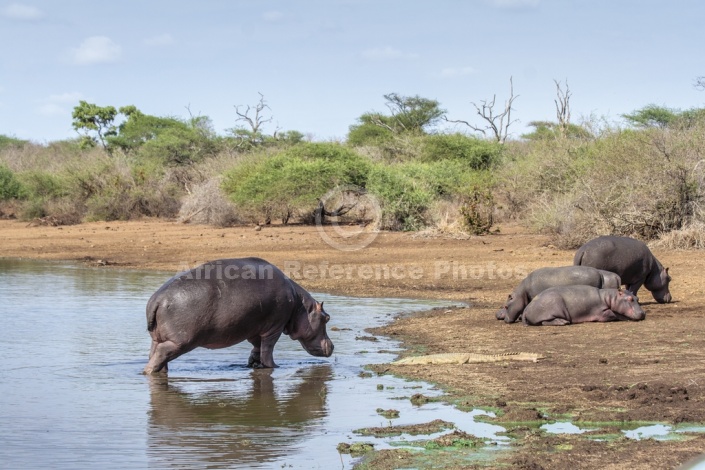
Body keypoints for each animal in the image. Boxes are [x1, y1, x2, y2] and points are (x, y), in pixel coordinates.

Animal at [142, 258, 334, 374]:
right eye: (327, 318)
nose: (332, 346)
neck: (299, 305)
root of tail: (157, 299)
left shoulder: (256, 330)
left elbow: (256, 348)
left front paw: (253, 364)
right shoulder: (274, 328)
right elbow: (267, 349)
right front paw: (274, 367)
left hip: (157, 338)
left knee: (155, 355)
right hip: (180, 342)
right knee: (161, 355)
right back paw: (148, 372)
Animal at [520, 286, 648, 326]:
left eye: (637, 298)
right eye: (630, 299)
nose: (642, 313)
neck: (609, 297)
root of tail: (526, 309)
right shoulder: (601, 312)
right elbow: (613, 314)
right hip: (553, 307)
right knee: (544, 321)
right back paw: (563, 322)